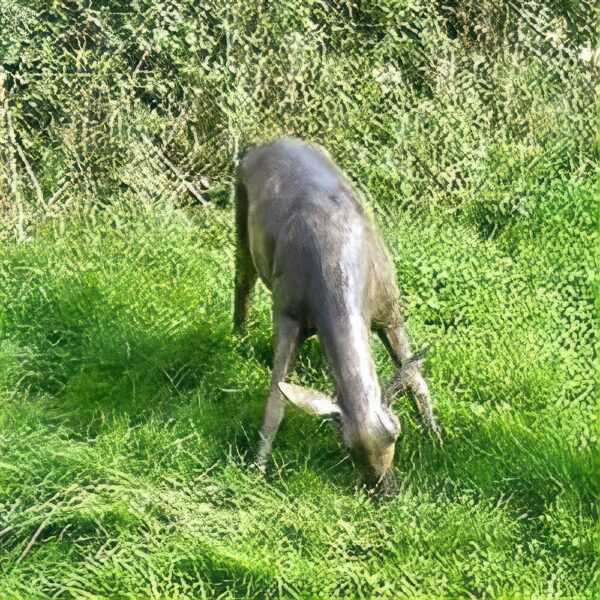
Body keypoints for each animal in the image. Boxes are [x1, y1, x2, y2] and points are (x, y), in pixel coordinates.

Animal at [234, 138, 440, 490]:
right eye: (344, 444)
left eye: (396, 433)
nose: (383, 490)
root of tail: (270, 143)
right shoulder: (287, 314)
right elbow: (277, 397)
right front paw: (257, 467)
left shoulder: (389, 310)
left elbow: (414, 376)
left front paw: (435, 435)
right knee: (242, 278)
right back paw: (238, 339)